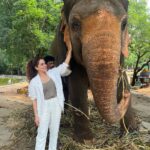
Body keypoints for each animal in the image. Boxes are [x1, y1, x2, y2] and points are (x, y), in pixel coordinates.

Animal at [52, 0, 139, 142]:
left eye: (124, 24)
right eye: (75, 24)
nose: (126, 95)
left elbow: (122, 78)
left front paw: (131, 132)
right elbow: (77, 83)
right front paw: (85, 141)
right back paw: (63, 115)